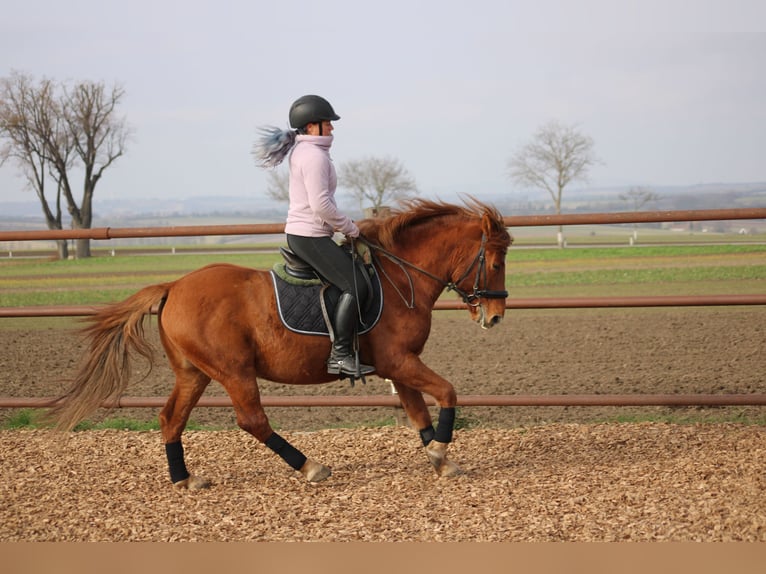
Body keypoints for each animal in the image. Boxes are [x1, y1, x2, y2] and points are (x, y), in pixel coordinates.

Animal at [49, 199, 516, 490]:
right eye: (495, 262)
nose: (494, 316)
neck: (400, 278)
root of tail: (174, 286)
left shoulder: (399, 366)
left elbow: (419, 413)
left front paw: (441, 459)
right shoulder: (399, 362)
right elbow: (448, 392)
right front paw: (441, 449)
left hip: (194, 372)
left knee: (171, 418)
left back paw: (185, 478)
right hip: (234, 371)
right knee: (252, 420)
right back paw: (310, 467)